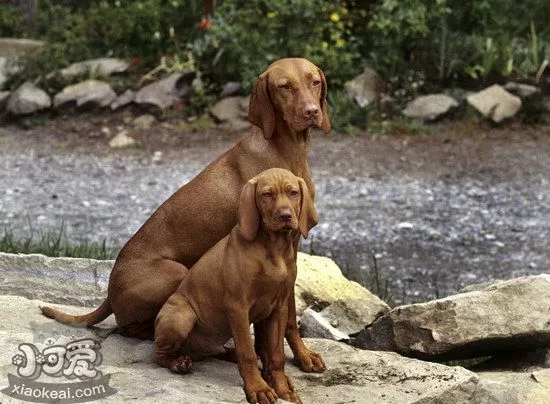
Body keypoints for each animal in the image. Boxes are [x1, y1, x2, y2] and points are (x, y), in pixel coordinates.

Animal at [41, 56, 332, 372]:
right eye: (284, 86)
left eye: (314, 82)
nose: (311, 112)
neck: (288, 151)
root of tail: (109, 290)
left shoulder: (291, 246)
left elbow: (286, 316)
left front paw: (300, 356)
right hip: (176, 273)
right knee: (129, 327)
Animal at [157, 167, 316, 404]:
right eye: (266, 195)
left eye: (293, 193)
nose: (285, 216)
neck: (273, 249)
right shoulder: (237, 306)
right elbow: (247, 353)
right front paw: (259, 389)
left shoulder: (278, 308)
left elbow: (276, 354)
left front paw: (282, 389)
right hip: (181, 317)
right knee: (159, 354)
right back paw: (178, 363)